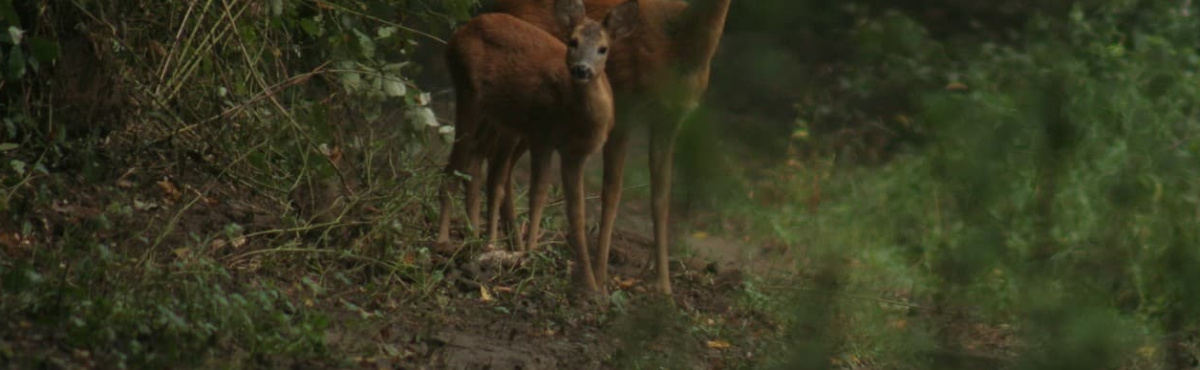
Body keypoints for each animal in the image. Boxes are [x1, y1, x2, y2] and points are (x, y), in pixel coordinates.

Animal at [439, 0, 643, 293]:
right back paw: (446, 240)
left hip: (497, 117)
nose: (582, 69)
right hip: (469, 92)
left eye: (603, 48)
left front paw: (592, 286)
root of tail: (458, 33)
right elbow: (539, 194)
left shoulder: (575, 154)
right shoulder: (542, 135)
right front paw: (530, 253)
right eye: (573, 41)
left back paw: (476, 239)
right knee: (455, 165)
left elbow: (577, 213)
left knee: (477, 163)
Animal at [494, 0, 729, 294]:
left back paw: (513, 245)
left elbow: (661, 196)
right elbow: (612, 191)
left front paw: (664, 288)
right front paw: (600, 277)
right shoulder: (625, 105)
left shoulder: (670, 119)